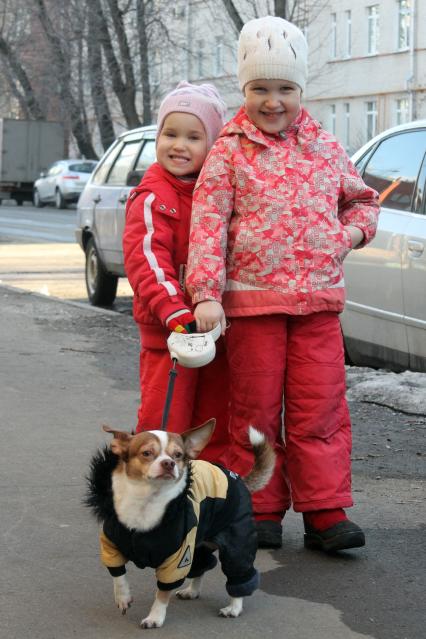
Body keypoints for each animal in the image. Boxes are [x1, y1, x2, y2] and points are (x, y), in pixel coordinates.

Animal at [85, 420, 274, 632]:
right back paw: (192, 591)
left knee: (239, 574)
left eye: (178, 455)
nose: (169, 463)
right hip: (198, 543)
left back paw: (234, 607)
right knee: (203, 565)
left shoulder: (177, 560)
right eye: (146, 453)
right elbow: (119, 577)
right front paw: (123, 598)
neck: (146, 500)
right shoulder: (111, 546)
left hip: (236, 544)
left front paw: (155, 617)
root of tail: (238, 478)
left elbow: (162, 594)